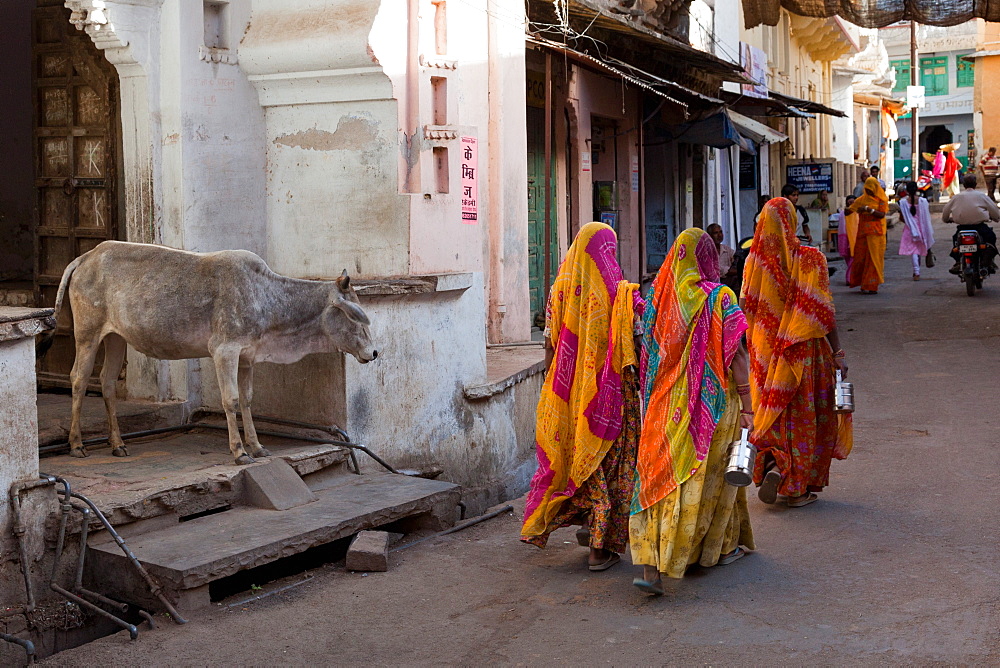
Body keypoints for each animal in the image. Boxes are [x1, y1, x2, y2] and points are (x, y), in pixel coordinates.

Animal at [37, 240, 376, 464]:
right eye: (354, 315)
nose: (373, 353)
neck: (267, 298)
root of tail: (87, 256)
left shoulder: (247, 356)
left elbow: (248, 400)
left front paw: (257, 446)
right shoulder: (224, 351)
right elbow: (231, 400)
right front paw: (239, 451)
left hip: (116, 338)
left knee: (107, 382)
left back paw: (118, 444)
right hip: (88, 334)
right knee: (79, 379)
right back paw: (76, 444)